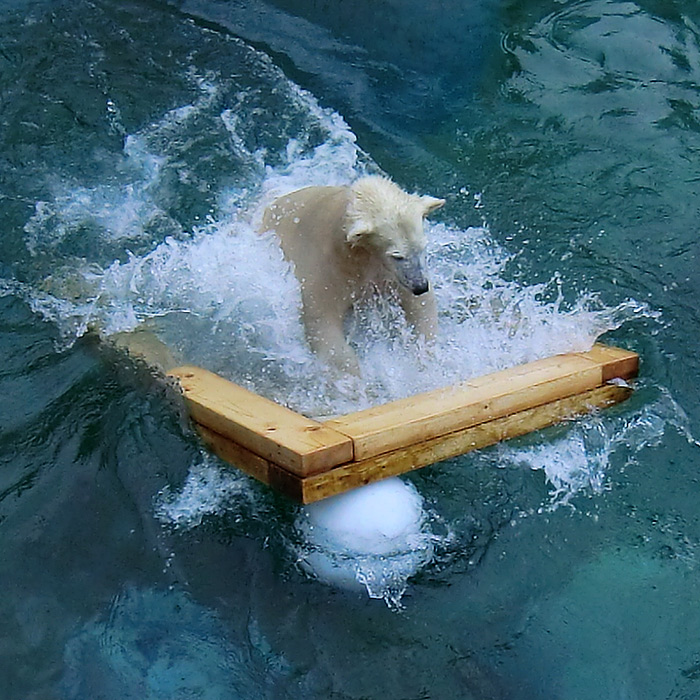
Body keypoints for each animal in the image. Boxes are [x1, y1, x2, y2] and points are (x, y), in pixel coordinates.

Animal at [262, 176, 442, 372]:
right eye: (397, 256)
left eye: (422, 247)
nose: (420, 286)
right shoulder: (326, 265)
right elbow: (322, 320)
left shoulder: (389, 275)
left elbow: (421, 308)